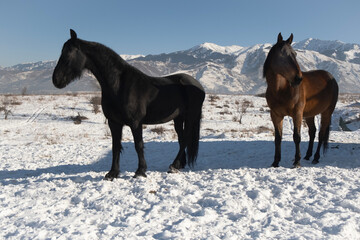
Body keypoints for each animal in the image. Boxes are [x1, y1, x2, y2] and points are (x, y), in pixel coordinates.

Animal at [53, 30, 205, 179]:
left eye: (69, 53)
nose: (56, 80)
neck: (119, 85)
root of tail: (198, 85)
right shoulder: (114, 122)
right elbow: (115, 146)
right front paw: (112, 173)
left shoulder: (135, 122)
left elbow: (138, 145)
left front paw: (140, 171)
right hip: (178, 118)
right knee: (181, 138)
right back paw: (178, 165)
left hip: (191, 116)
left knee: (185, 138)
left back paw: (174, 166)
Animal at [262, 32, 338, 168]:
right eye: (283, 54)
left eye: (295, 54)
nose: (298, 78)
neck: (281, 90)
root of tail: (331, 78)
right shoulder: (276, 115)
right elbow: (278, 138)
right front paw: (276, 162)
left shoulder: (297, 113)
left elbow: (296, 137)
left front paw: (297, 161)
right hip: (310, 114)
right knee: (312, 132)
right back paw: (308, 155)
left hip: (327, 112)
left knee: (321, 134)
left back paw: (316, 158)